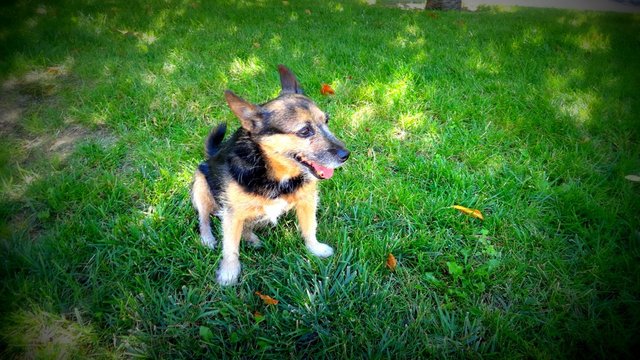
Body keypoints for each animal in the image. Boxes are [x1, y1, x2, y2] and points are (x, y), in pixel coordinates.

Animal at [191, 64, 350, 284]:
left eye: (326, 120)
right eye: (304, 131)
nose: (346, 155)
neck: (275, 174)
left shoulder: (307, 200)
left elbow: (310, 227)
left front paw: (315, 249)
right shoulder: (232, 212)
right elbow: (230, 247)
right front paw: (229, 273)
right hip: (200, 187)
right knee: (204, 219)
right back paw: (208, 238)